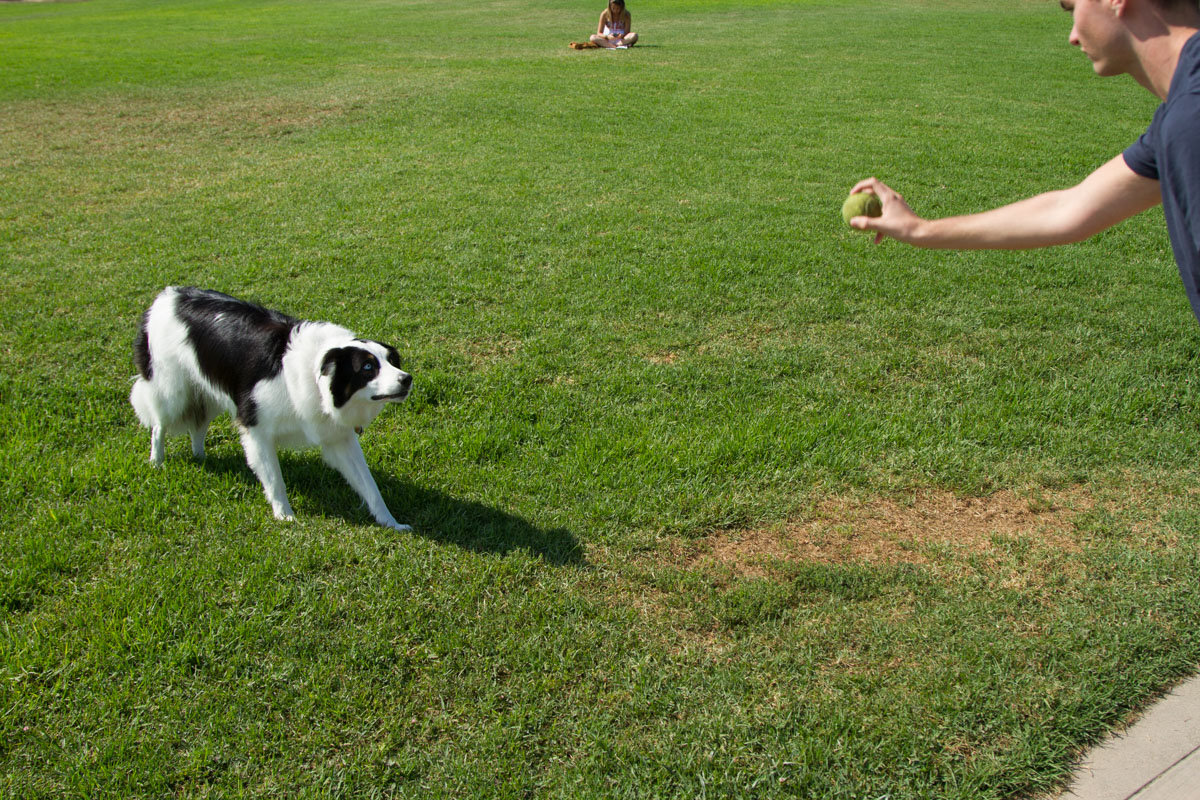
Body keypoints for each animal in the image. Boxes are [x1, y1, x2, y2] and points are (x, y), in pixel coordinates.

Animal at [130, 287, 412, 532]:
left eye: (391, 361)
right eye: (368, 367)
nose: (407, 379)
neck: (316, 372)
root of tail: (167, 295)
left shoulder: (338, 437)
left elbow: (370, 485)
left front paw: (391, 522)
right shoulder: (256, 429)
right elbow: (275, 479)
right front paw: (285, 516)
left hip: (206, 390)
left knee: (198, 426)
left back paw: (200, 457)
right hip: (172, 391)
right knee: (159, 425)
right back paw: (156, 462)